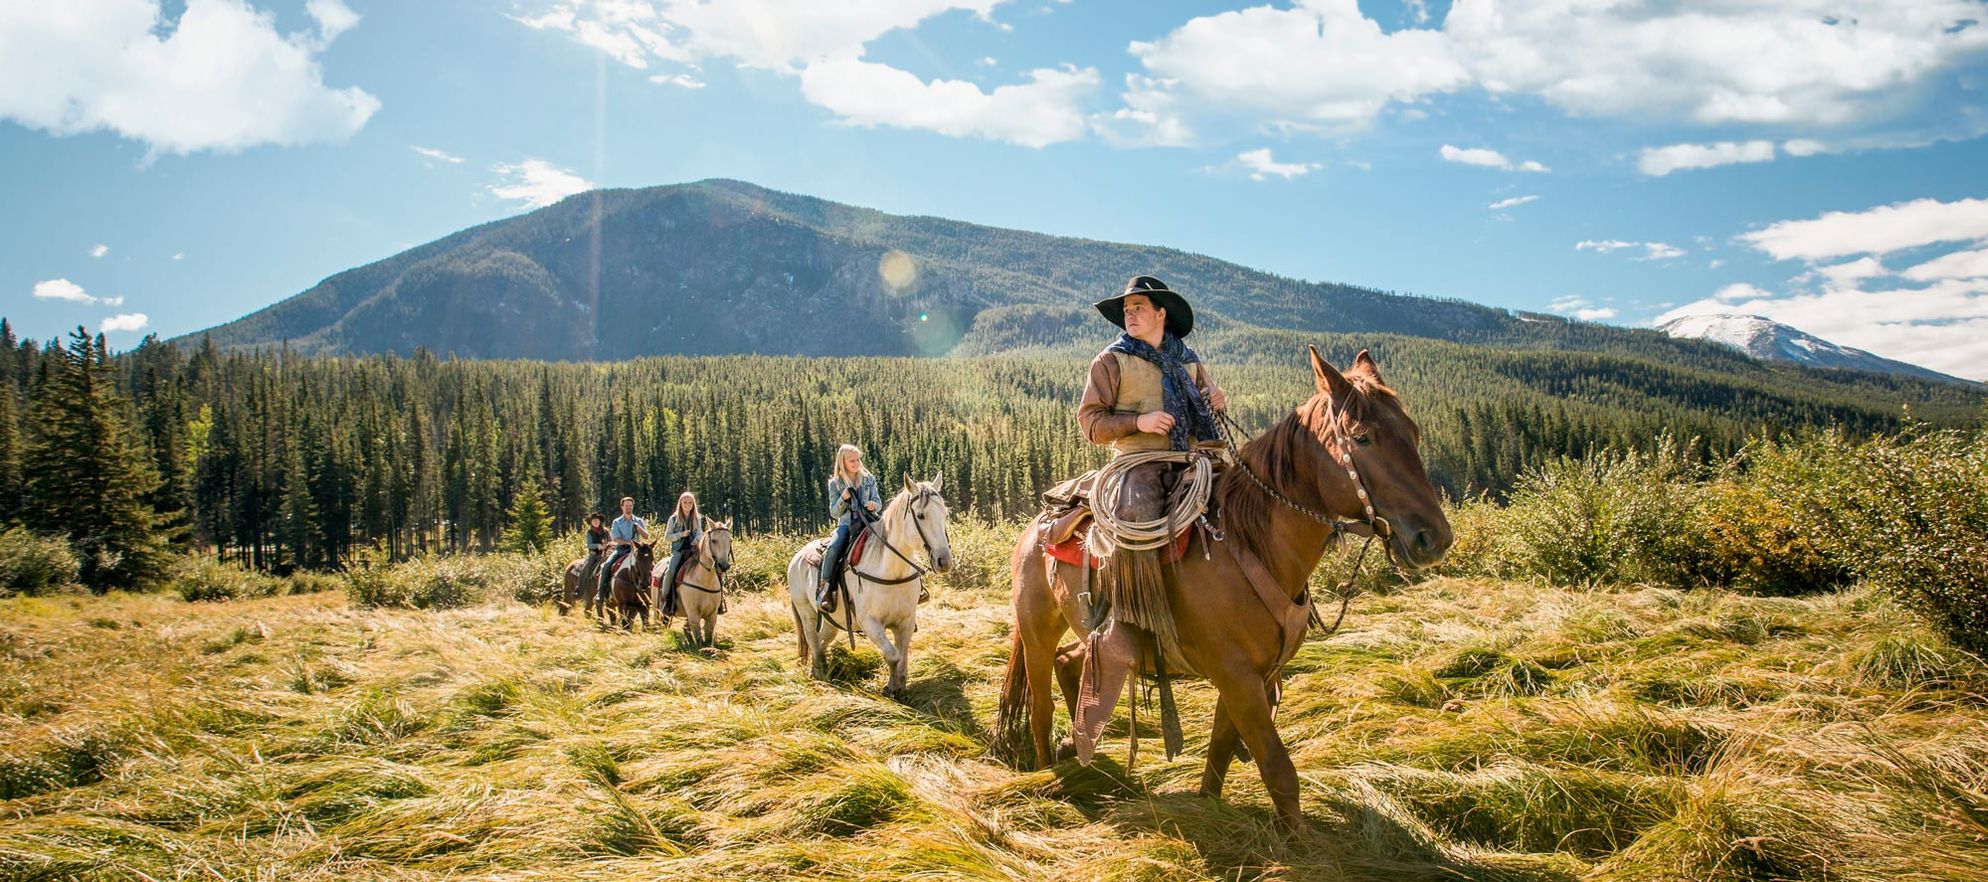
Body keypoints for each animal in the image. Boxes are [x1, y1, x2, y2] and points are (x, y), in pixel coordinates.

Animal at [787, 474, 950, 695]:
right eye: (920, 515)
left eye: (945, 514)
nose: (944, 561)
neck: (892, 572)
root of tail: (796, 557)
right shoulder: (870, 623)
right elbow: (892, 655)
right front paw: (890, 688)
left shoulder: (906, 621)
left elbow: (903, 655)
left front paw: (901, 684)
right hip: (806, 612)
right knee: (812, 639)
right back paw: (819, 674)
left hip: (831, 620)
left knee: (821, 641)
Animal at [1001, 345, 1455, 834]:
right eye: (1363, 437)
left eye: (1413, 432)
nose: (1434, 538)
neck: (1250, 544)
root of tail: (1038, 521)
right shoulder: (1238, 677)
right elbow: (1279, 771)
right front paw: (1301, 843)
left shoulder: (1254, 675)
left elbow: (1220, 749)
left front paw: (1210, 809)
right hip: (1037, 630)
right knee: (1041, 705)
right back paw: (1049, 774)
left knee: (1074, 663)